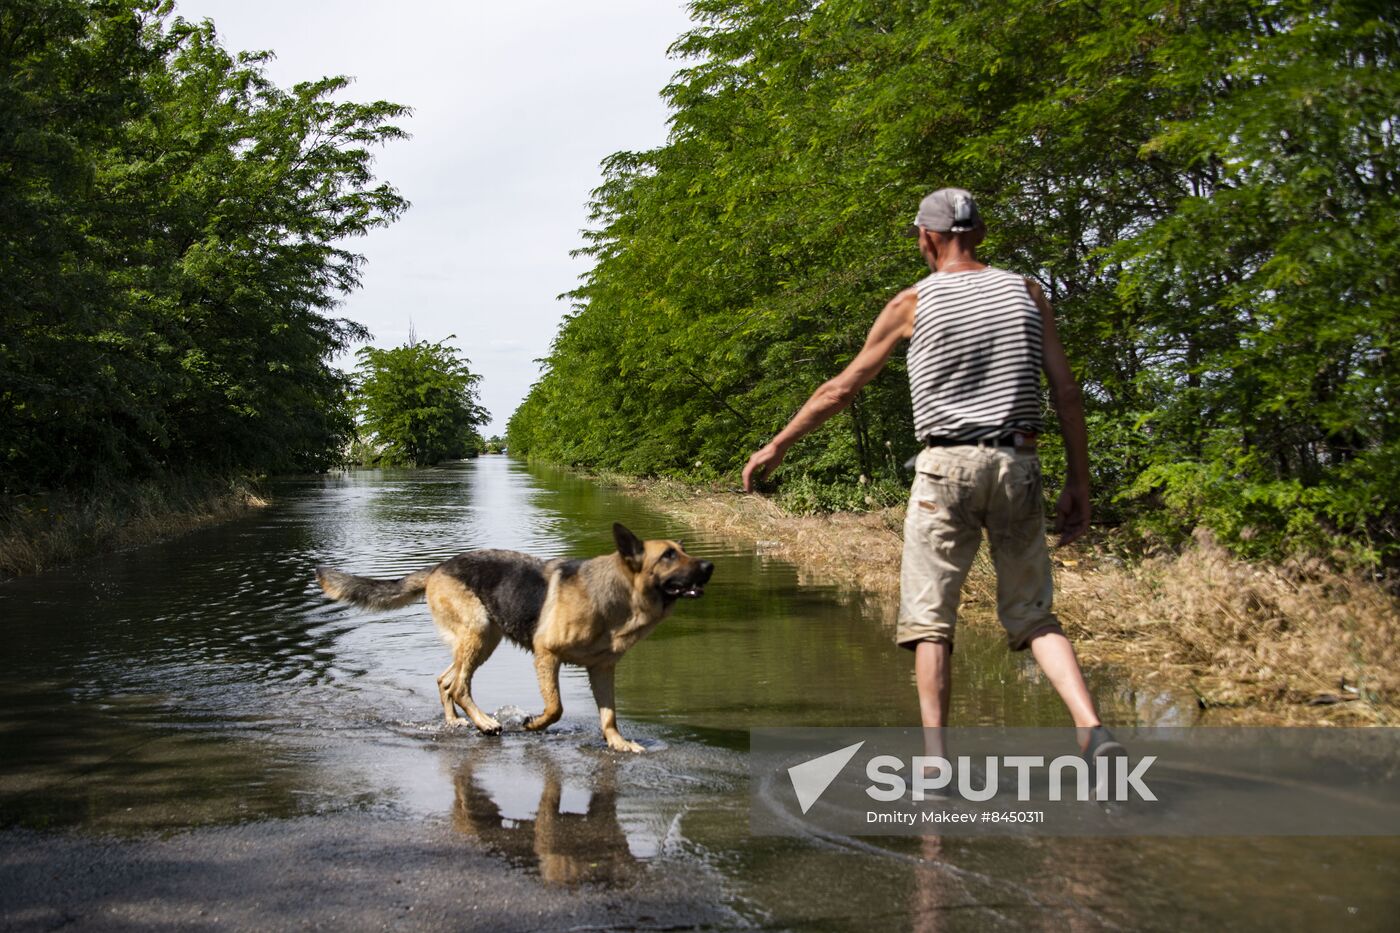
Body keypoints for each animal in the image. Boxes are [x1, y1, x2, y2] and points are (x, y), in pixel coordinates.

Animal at [316, 523, 711, 750]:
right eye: (668, 555)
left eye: (683, 550)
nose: (709, 566)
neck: (615, 596)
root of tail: (439, 567)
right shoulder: (546, 654)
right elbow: (556, 707)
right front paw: (533, 724)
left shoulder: (602, 670)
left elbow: (609, 713)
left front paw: (617, 743)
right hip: (478, 633)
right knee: (459, 685)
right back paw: (485, 723)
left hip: (482, 639)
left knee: (445, 680)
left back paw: (455, 722)